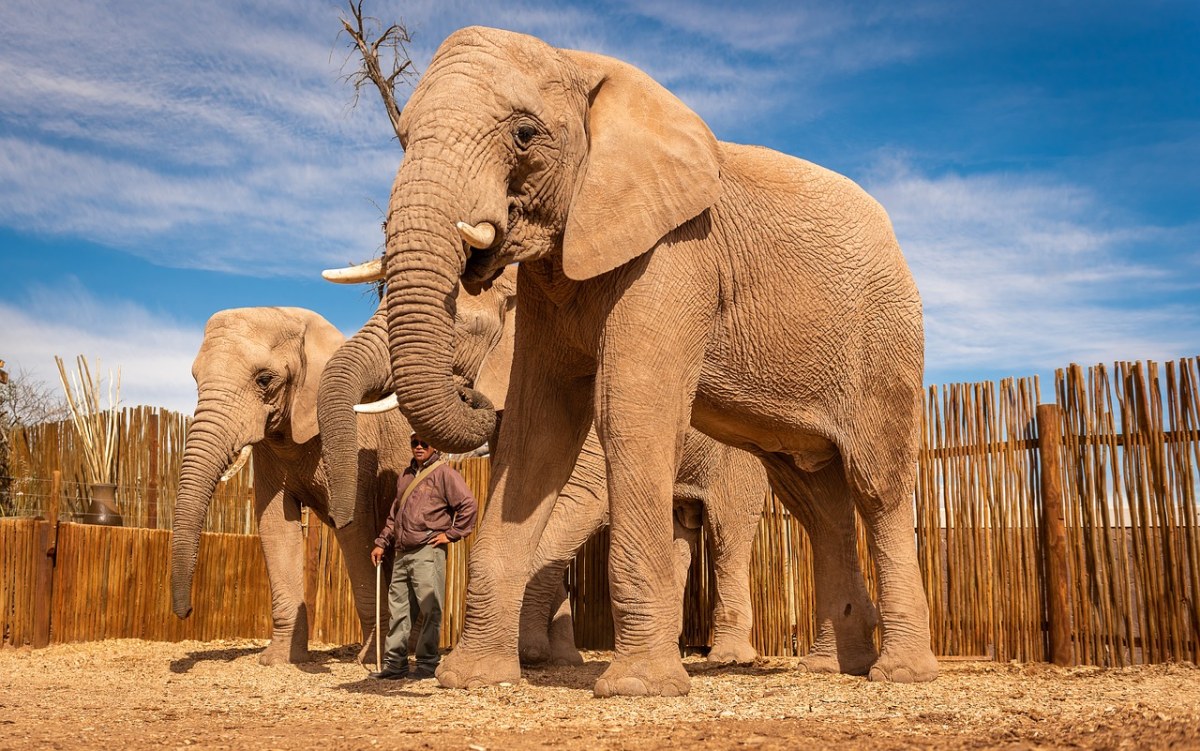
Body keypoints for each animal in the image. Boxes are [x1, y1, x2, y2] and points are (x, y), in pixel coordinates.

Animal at [169, 307, 410, 662]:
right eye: (196, 380)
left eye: (264, 379)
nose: (185, 612)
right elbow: (275, 526)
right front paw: (278, 660)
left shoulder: (361, 441)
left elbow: (356, 531)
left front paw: (368, 660)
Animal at [319, 266, 768, 662]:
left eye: (460, 324)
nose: (467, 393)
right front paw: (558, 656)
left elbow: (579, 500)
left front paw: (528, 652)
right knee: (680, 530)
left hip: (739, 449)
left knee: (728, 532)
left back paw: (728, 658)